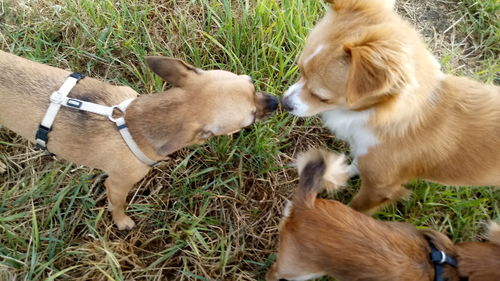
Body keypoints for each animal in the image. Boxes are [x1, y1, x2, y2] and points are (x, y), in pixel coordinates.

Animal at [0, 50, 278, 230]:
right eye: (249, 119)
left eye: (251, 83)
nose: (276, 101)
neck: (137, 120)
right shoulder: (117, 184)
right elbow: (117, 205)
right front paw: (122, 222)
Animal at [282, 0, 500, 212]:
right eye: (300, 69)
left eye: (321, 97)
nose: (284, 102)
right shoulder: (367, 155)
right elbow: (356, 164)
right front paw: (337, 173)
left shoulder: (379, 188)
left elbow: (358, 208)